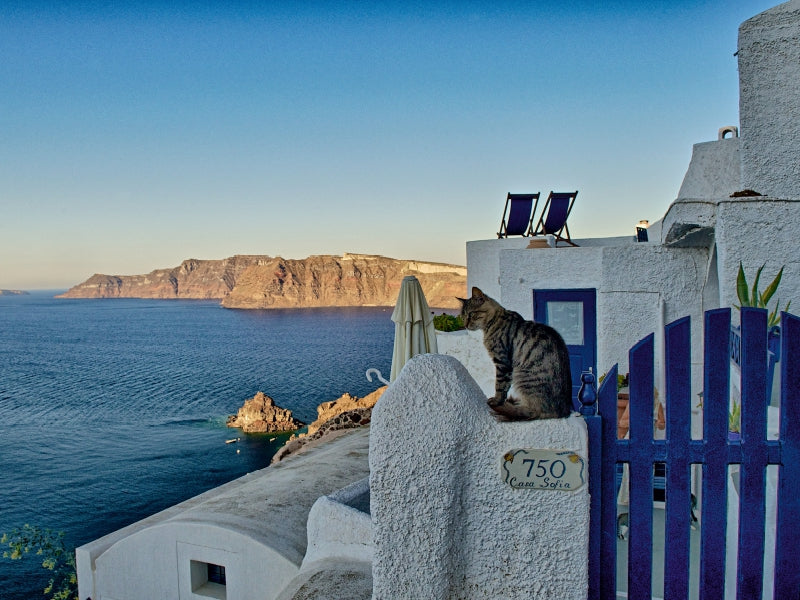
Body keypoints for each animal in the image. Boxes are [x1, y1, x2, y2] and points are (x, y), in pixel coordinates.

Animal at [456, 288, 576, 422]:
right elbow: (504, 386)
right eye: (462, 316)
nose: (465, 325)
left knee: (533, 412)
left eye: (471, 314)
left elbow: (500, 385)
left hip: (522, 376)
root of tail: (563, 412)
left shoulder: (502, 362)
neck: (494, 321)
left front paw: (496, 401)